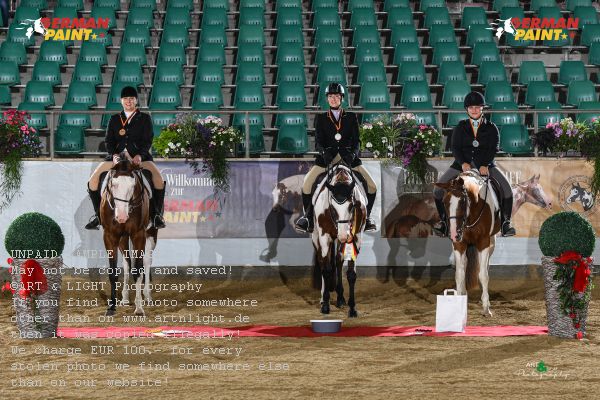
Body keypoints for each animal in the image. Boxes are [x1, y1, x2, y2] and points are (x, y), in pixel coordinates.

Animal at [100, 158, 157, 318]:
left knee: (146, 262)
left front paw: (139, 308)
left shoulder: (139, 234)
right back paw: (125, 298)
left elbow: (138, 270)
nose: (121, 217)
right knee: (126, 263)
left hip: (150, 234)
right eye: (114, 184)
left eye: (132, 186)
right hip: (123, 239)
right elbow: (113, 272)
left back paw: (147, 297)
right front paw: (111, 307)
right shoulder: (110, 236)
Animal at [312, 161, 368, 318]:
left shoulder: (356, 237)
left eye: (352, 206)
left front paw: (352, 308)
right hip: (316, 237)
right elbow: (326, 270)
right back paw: (322, 299)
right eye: (332, 206)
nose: (343, 235)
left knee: (337, 261)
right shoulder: (324, 237)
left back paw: (340, 298)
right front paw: (325, 306)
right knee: (322, 262)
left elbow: (351, 274)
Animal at [434, 170, 500, 318]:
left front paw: (486, 308)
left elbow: (483, 275)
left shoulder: (483, 242)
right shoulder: (459, 244)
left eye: (462, 201)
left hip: (491, 243)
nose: (454, 234)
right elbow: (459, 274)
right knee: (463, 266)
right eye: (444, 202)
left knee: (485, 267)